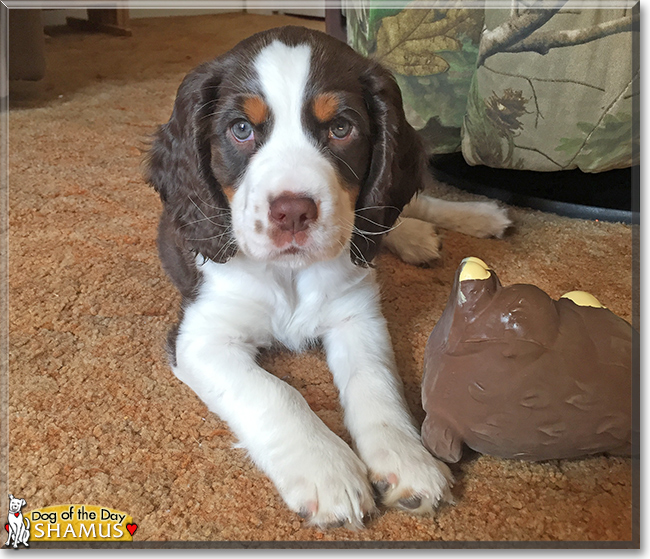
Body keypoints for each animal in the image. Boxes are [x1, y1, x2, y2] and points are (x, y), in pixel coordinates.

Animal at [144, 25, 508, 528]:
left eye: (340, 128)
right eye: (241, 129)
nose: (293, 212)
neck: (290, 273)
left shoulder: (358, 316)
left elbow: (376, 384)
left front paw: (407, 460)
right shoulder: (202, 336)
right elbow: (275, 393)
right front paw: (327, 473)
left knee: (402, 207)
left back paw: (473, 218)